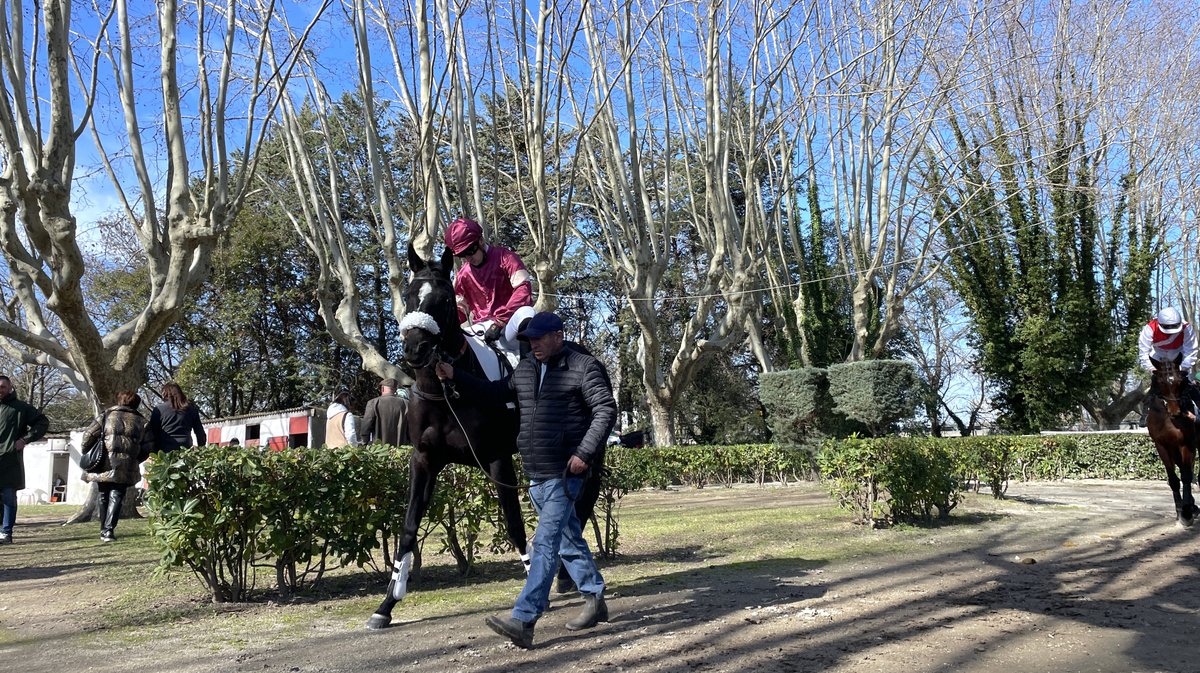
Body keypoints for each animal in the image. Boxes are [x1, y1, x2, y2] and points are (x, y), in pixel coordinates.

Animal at [1142, 355, 1200, 527]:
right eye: (1160, 382)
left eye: (1180, 380)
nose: (1175, 411)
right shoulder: (1162, 445)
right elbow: (1173, 479)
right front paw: (1180, 510)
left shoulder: (1186, 443)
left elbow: (1186, 476)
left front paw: (1186, 513)